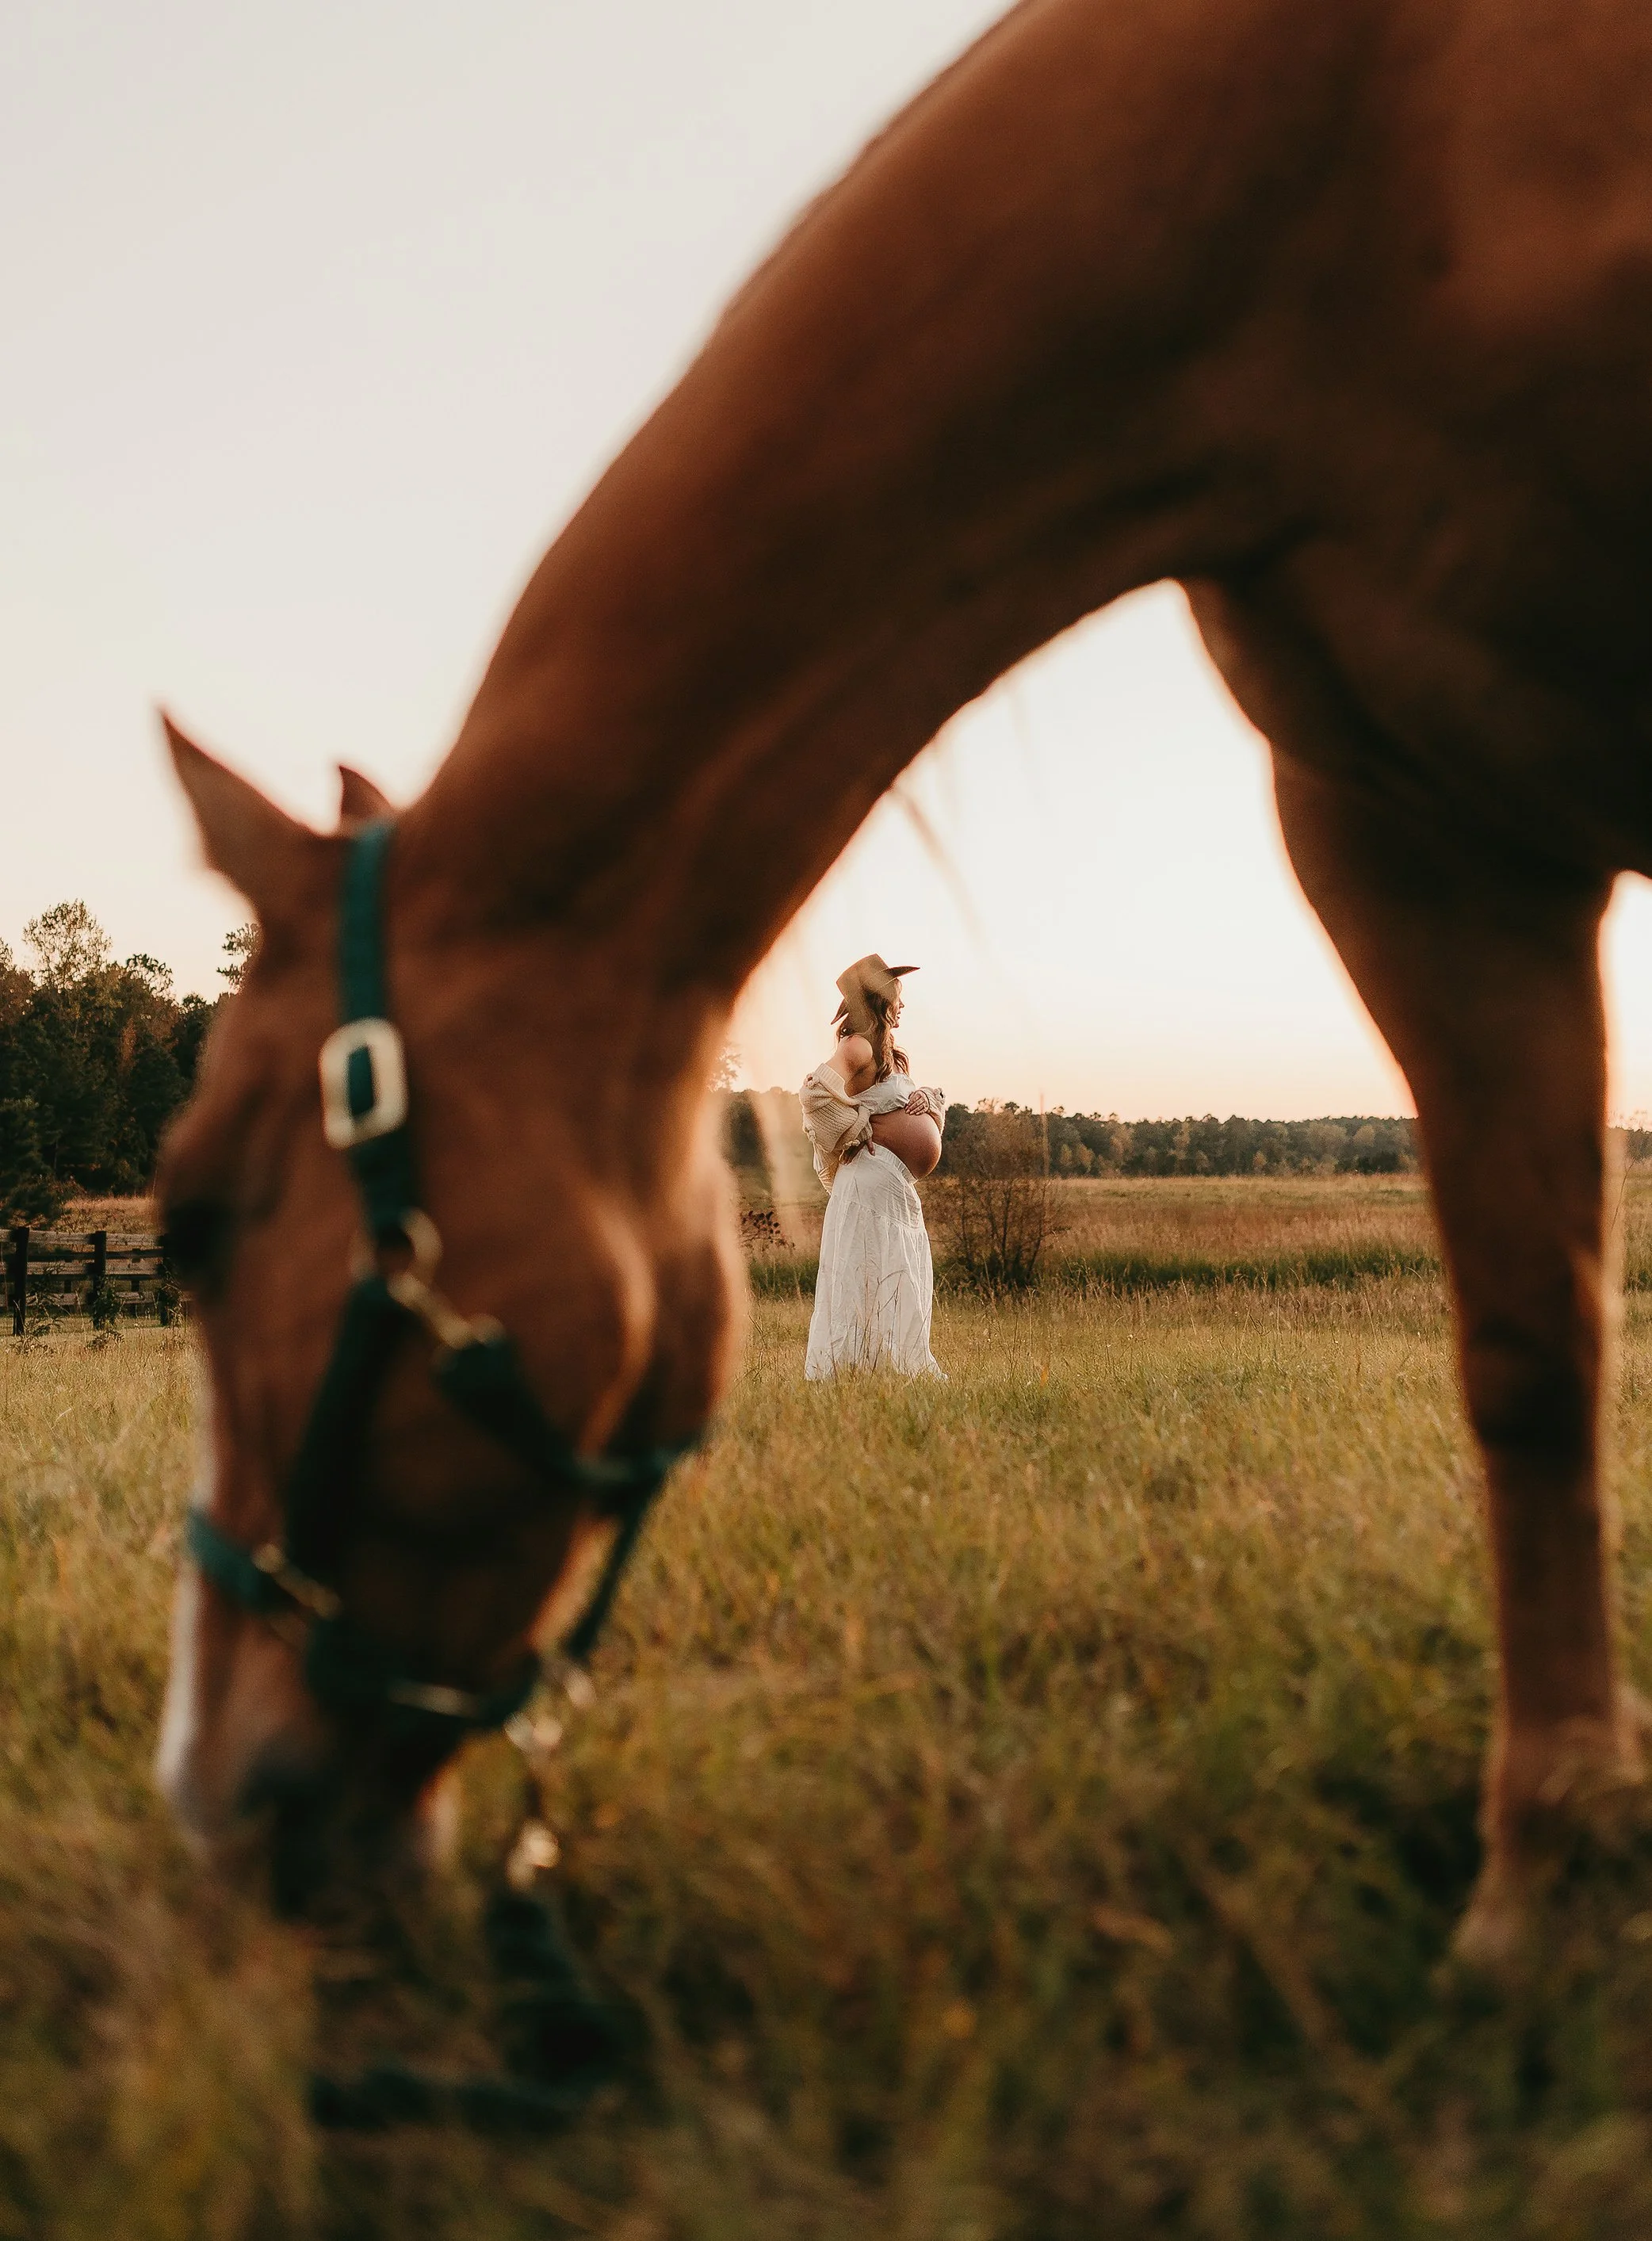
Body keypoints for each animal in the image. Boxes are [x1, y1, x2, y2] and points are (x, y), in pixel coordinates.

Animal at [155, 0, 1652, 1953]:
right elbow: (1529, 1349)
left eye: (191, 1218)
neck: (1350, 143)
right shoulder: (1412, 836)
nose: (211, 1808)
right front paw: (1543, 1882)